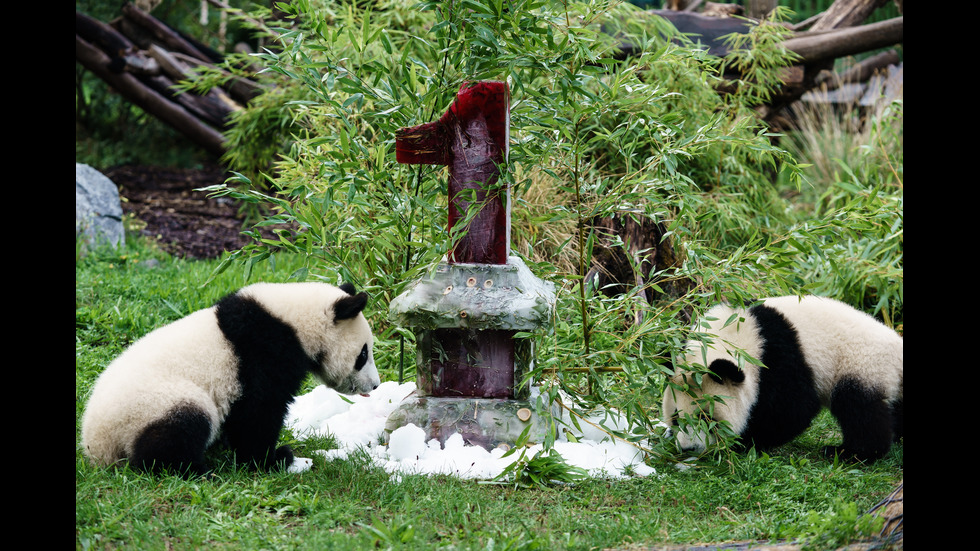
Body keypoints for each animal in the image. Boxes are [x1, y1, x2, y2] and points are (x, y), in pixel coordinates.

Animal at [80, 282, 380, 476]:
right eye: (363, 354)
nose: (375, 385)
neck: (293, 322)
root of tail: (96, 444)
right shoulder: (265, 352)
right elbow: (258, 412)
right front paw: (276, 459)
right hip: (153, 404)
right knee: (178, 431)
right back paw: (196, 469)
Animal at [660, 296, 904, 464]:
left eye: (707, 418)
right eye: (676, 417)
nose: (688, 448)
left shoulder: (778, 361)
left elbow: (793, 411)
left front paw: (745, 441)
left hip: (862, 364)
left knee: (859, 409)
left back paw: (849, 452)